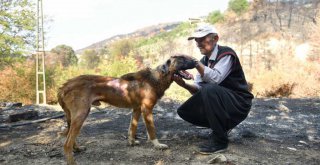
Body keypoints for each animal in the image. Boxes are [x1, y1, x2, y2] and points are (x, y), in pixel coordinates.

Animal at [58, 55, 196, 165]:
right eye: (181, 58)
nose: (195, 61)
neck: (156, 78)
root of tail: (65, 85)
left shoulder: (137, 109)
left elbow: (132, 128)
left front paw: (131, 142)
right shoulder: (147, 109)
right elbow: (151, 131)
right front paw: (157, 145)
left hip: (74, 118)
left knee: (70, 139)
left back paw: (77, 149)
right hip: (81, 114)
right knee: (66, 144)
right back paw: (72, 161)